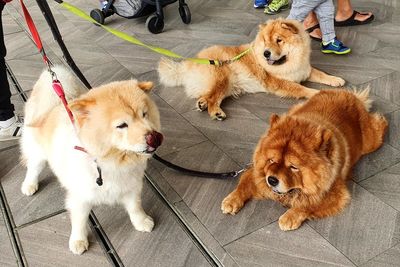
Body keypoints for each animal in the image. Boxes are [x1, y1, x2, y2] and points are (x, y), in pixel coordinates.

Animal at [19, 66, 164, 255]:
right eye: (122, 125)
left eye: (145, 115)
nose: (155, 138)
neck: (112, 161)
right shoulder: (81, 197)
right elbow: (79, 221)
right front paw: (78, 241)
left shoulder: (131, 186)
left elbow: (135, 207)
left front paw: (142, 222)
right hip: (38, 154)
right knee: (33, 168)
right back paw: (29, 186)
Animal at [158, 17, 346, 120]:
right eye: (265, 41)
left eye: (279, 40)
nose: (266, 53)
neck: (291, 61)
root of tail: (187, 65)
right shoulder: (280, 83)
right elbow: (302, 89)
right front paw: (321, 94)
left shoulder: (304, 70)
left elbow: (321, 74)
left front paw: (336, 80)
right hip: (223, 77)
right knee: (213, 98)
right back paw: (216, 112)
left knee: (209, 95)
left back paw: (202, 103)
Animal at [222, 89, 388, 231]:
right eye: (271, 160)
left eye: (293, 167)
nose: (272, 180)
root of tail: (349, 94)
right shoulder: (257, 172)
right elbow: (244, 184)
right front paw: (231, 201)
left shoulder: (337, 193)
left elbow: (309, 203)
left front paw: (289, 217)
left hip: (371, 142)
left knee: (380, 123)